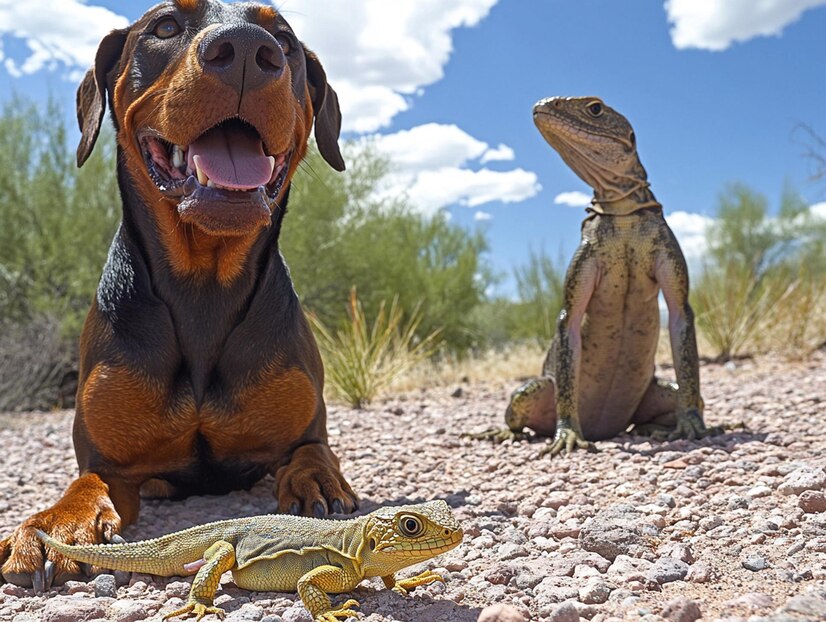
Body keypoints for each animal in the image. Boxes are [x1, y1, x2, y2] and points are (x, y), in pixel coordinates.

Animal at [0, 0, 356, 592]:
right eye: (164, 26)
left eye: (284, 41)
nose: (246, 50)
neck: (202, 291)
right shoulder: (109, 463)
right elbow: (85, 484)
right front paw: (53, 527)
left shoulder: (307, 428)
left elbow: (313, 453)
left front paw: (318, 484)